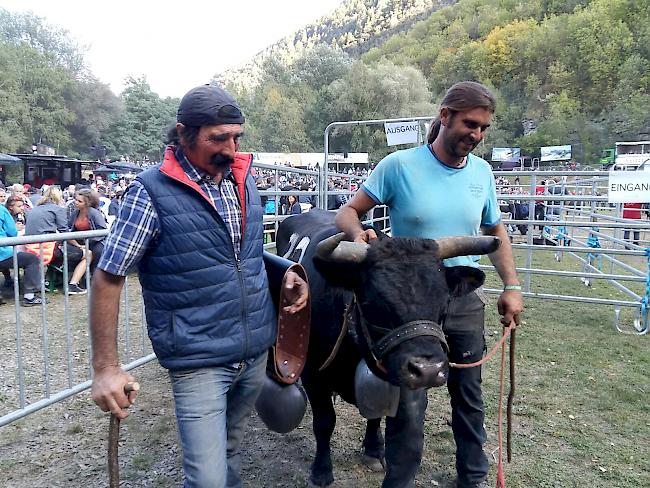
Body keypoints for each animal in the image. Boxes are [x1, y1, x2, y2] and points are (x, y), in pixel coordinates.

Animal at [274, 211, 496, 488]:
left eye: (445, 303)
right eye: (372, 303)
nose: (428, 370)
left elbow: (375, 414)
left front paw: (373, 448)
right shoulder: (313, 374)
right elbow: (324, 421)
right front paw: (321, 470)